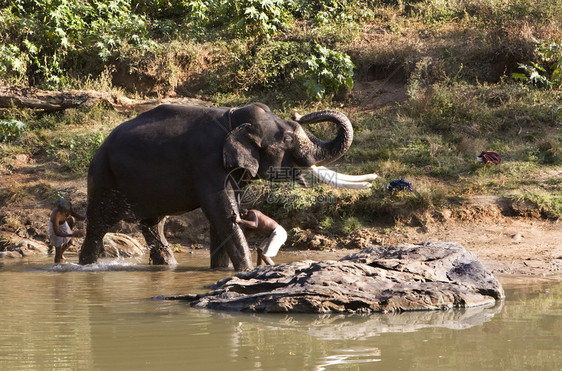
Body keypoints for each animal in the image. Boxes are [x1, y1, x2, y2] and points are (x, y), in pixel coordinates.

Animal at [79, 101, 350, 270]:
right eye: (288, 138)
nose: (298, 114)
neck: (234, 116)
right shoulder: (207, 162)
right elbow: (220, 211)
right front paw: (245, 271)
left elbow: (222, 215)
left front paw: (220, 269)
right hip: (102, 178)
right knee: (98, 225)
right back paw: (86, 266)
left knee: (153, 225)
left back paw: (168, 265)